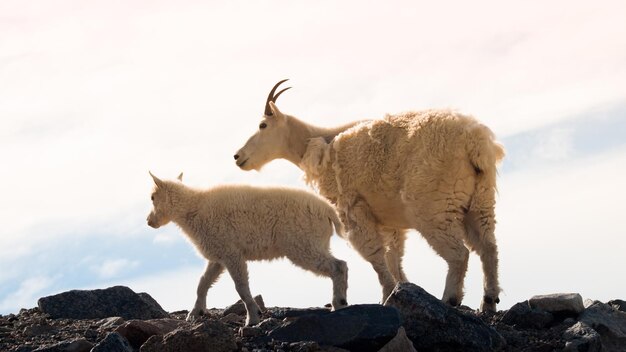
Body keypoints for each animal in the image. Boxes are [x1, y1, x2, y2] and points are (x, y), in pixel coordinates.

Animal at [146, 172, 348, 326]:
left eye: (152, 197)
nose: (149, 221)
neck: (192, 210)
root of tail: (329, 211)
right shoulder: (218, 255)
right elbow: (203, 282)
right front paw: (195, 314)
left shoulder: (231, 253)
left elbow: (241, 287)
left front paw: (252, 318)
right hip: (316, 242)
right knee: (340, 264)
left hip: (302, 242)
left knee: (338, 265)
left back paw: (338, 303)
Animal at [236, 79, 504, 310]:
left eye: (262, 125)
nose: (238, 156)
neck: (319, 142)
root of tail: (475, 142)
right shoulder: (388, 220)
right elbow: (394, 257)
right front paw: (398, 290)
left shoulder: (353, 208)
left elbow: (375, 255)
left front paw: (387, 297)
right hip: (480, 200)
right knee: (488, 247)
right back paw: (489, 301)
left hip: (433, 204)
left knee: (459, 253)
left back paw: (450, 298)